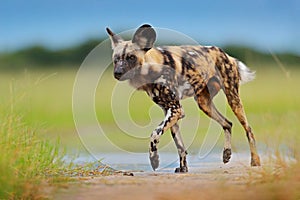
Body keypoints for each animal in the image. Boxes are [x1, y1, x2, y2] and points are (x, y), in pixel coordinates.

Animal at [106, 24, 262, 172]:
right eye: (116, 60)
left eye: (131, 57)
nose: (117, 73)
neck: (152, 69)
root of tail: (226, 54)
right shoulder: (170, 112)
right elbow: (180, 146)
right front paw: (183, 169)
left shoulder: (176, 110)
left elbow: (154, 134)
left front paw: (154, 160)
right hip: (204, 104)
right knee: (227, 123)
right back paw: (227, 153)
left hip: (232, 98)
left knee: (248, 129)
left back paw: (255, 161)